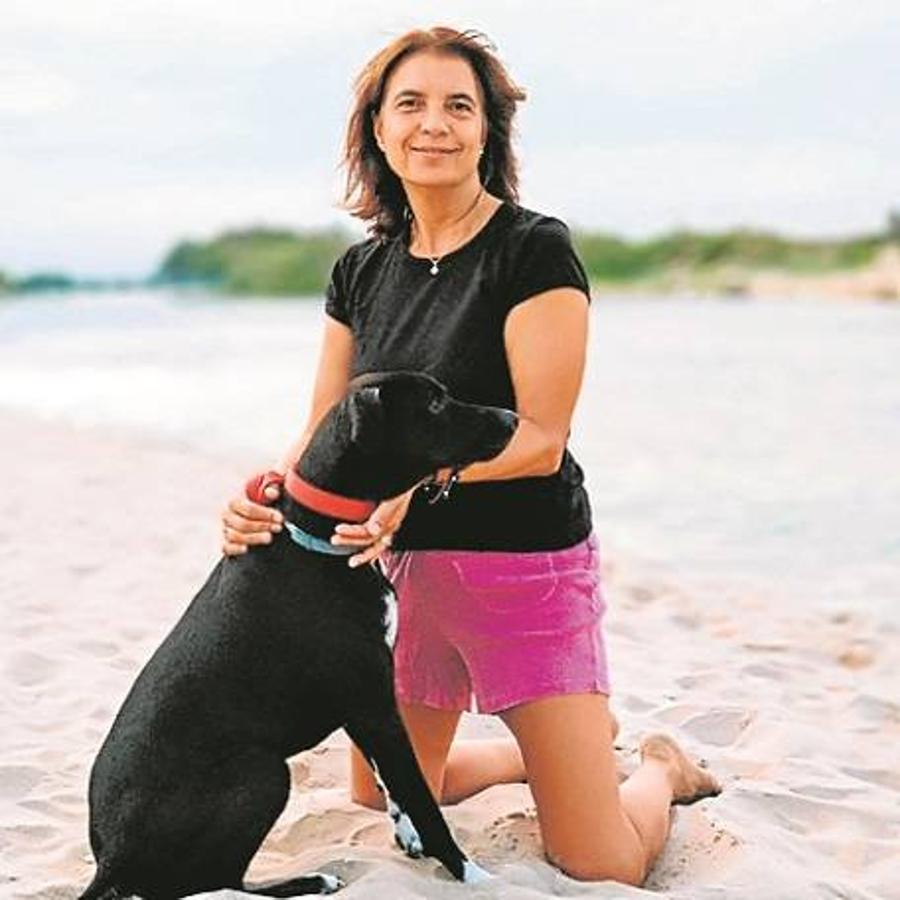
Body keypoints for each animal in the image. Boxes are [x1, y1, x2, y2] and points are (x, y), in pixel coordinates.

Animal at [81, 372, 516, 900]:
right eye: (433, 403)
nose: (512, 418)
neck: (319, 538)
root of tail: (112, 856)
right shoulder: (375, 705)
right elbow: (420, 797)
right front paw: (471, 874)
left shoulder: (365, 710)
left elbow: (392, 786)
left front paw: (410, 836)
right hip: (265, 774)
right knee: (215, 882)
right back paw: (311, 878)